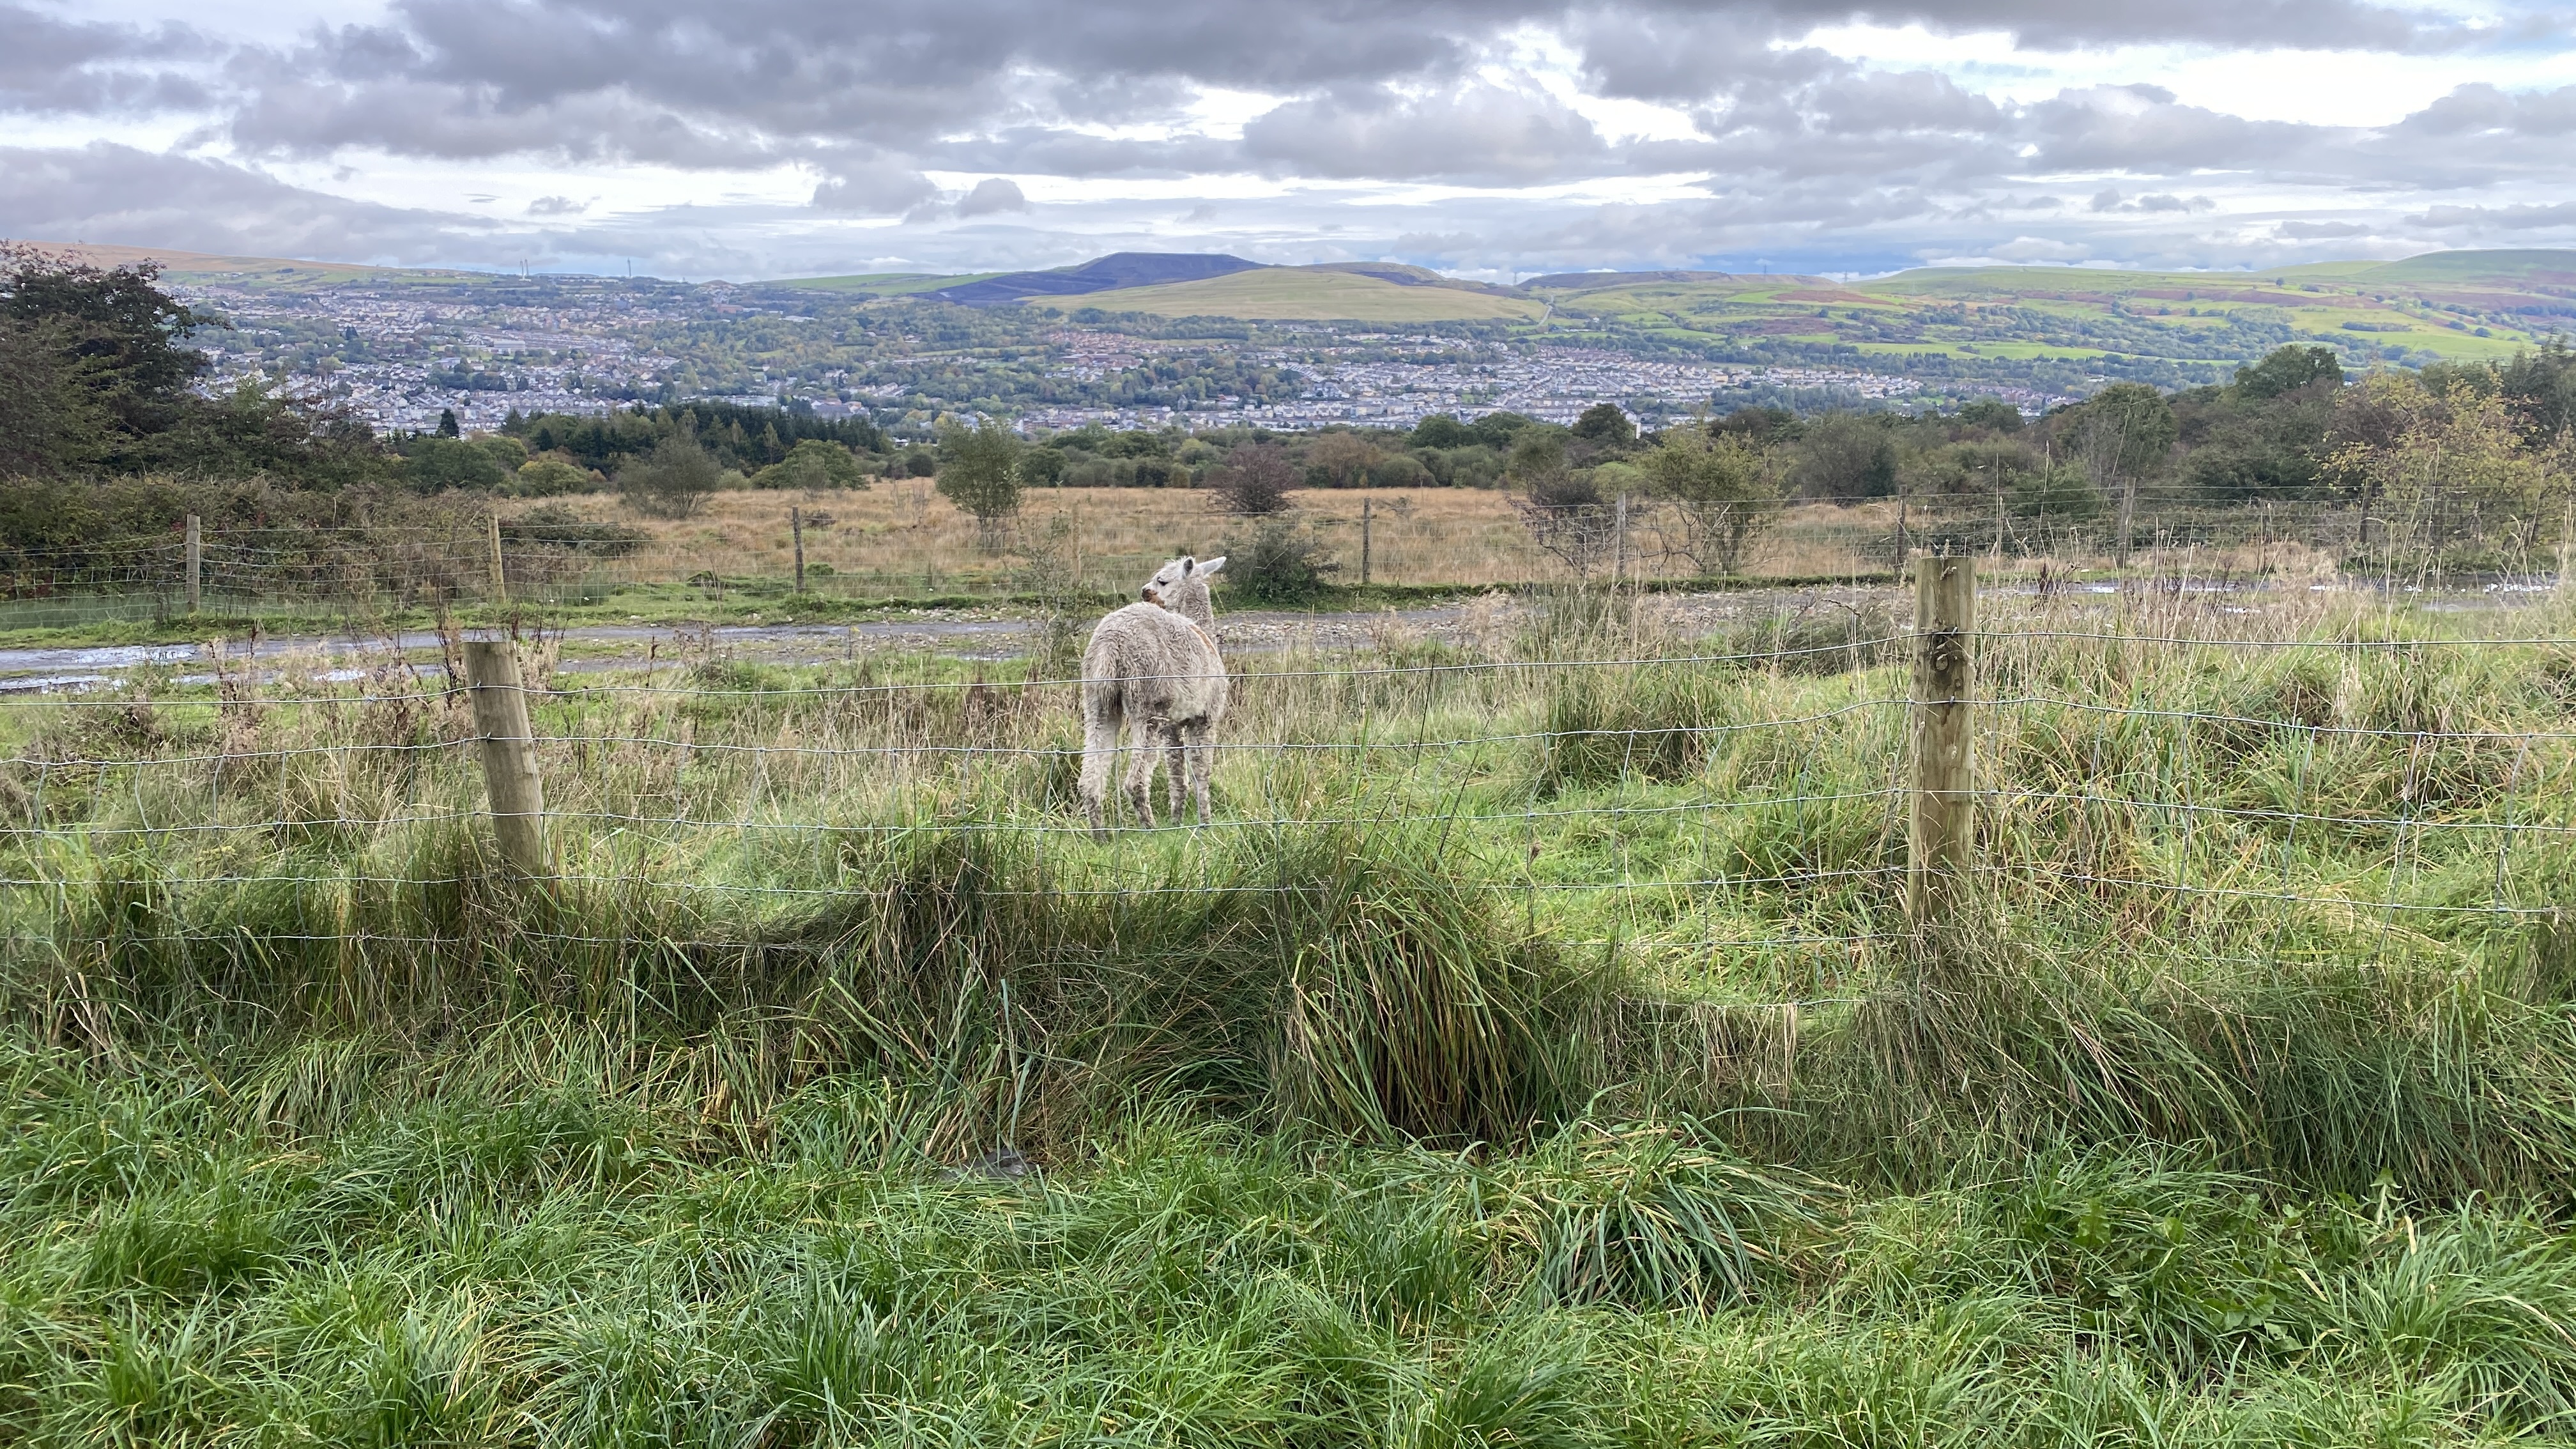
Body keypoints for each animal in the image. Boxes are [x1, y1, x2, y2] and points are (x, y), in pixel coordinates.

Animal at [1078, 556, 1228, 838]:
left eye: (1162, 581)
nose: (1145, 592)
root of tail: (1110, 641)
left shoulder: (1174, 724)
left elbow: (1177, 772)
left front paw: (1178, 820)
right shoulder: (1204, 717)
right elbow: (1201, 771)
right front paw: (1205, 822)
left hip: (1098, 700)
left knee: (1090, 777)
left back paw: (1100, 834)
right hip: (1149, 701)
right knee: (1135, 780)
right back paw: (1150, 827)